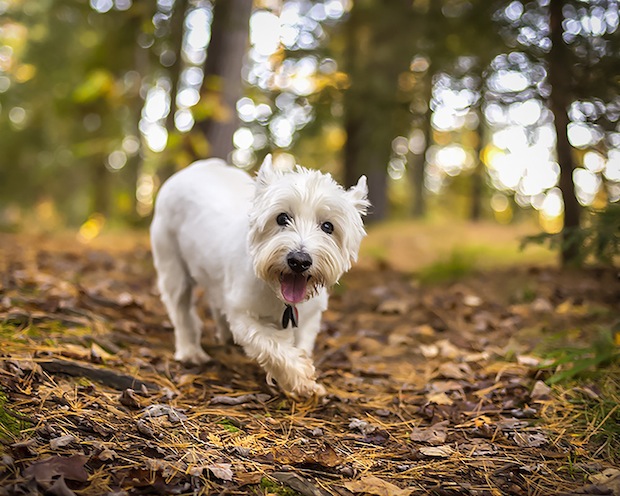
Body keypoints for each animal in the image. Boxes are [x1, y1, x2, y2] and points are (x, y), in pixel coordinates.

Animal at [150, 157, 368, 398]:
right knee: (180, 309)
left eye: (328, 226)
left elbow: (301, 344)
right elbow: (271, 345)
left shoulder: (310, 317)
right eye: (282, 218)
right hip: (172, 265)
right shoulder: (242, 316)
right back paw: (190, 351)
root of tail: (195, 167)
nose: (299, 260)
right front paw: (300, 378)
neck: (278, 293)